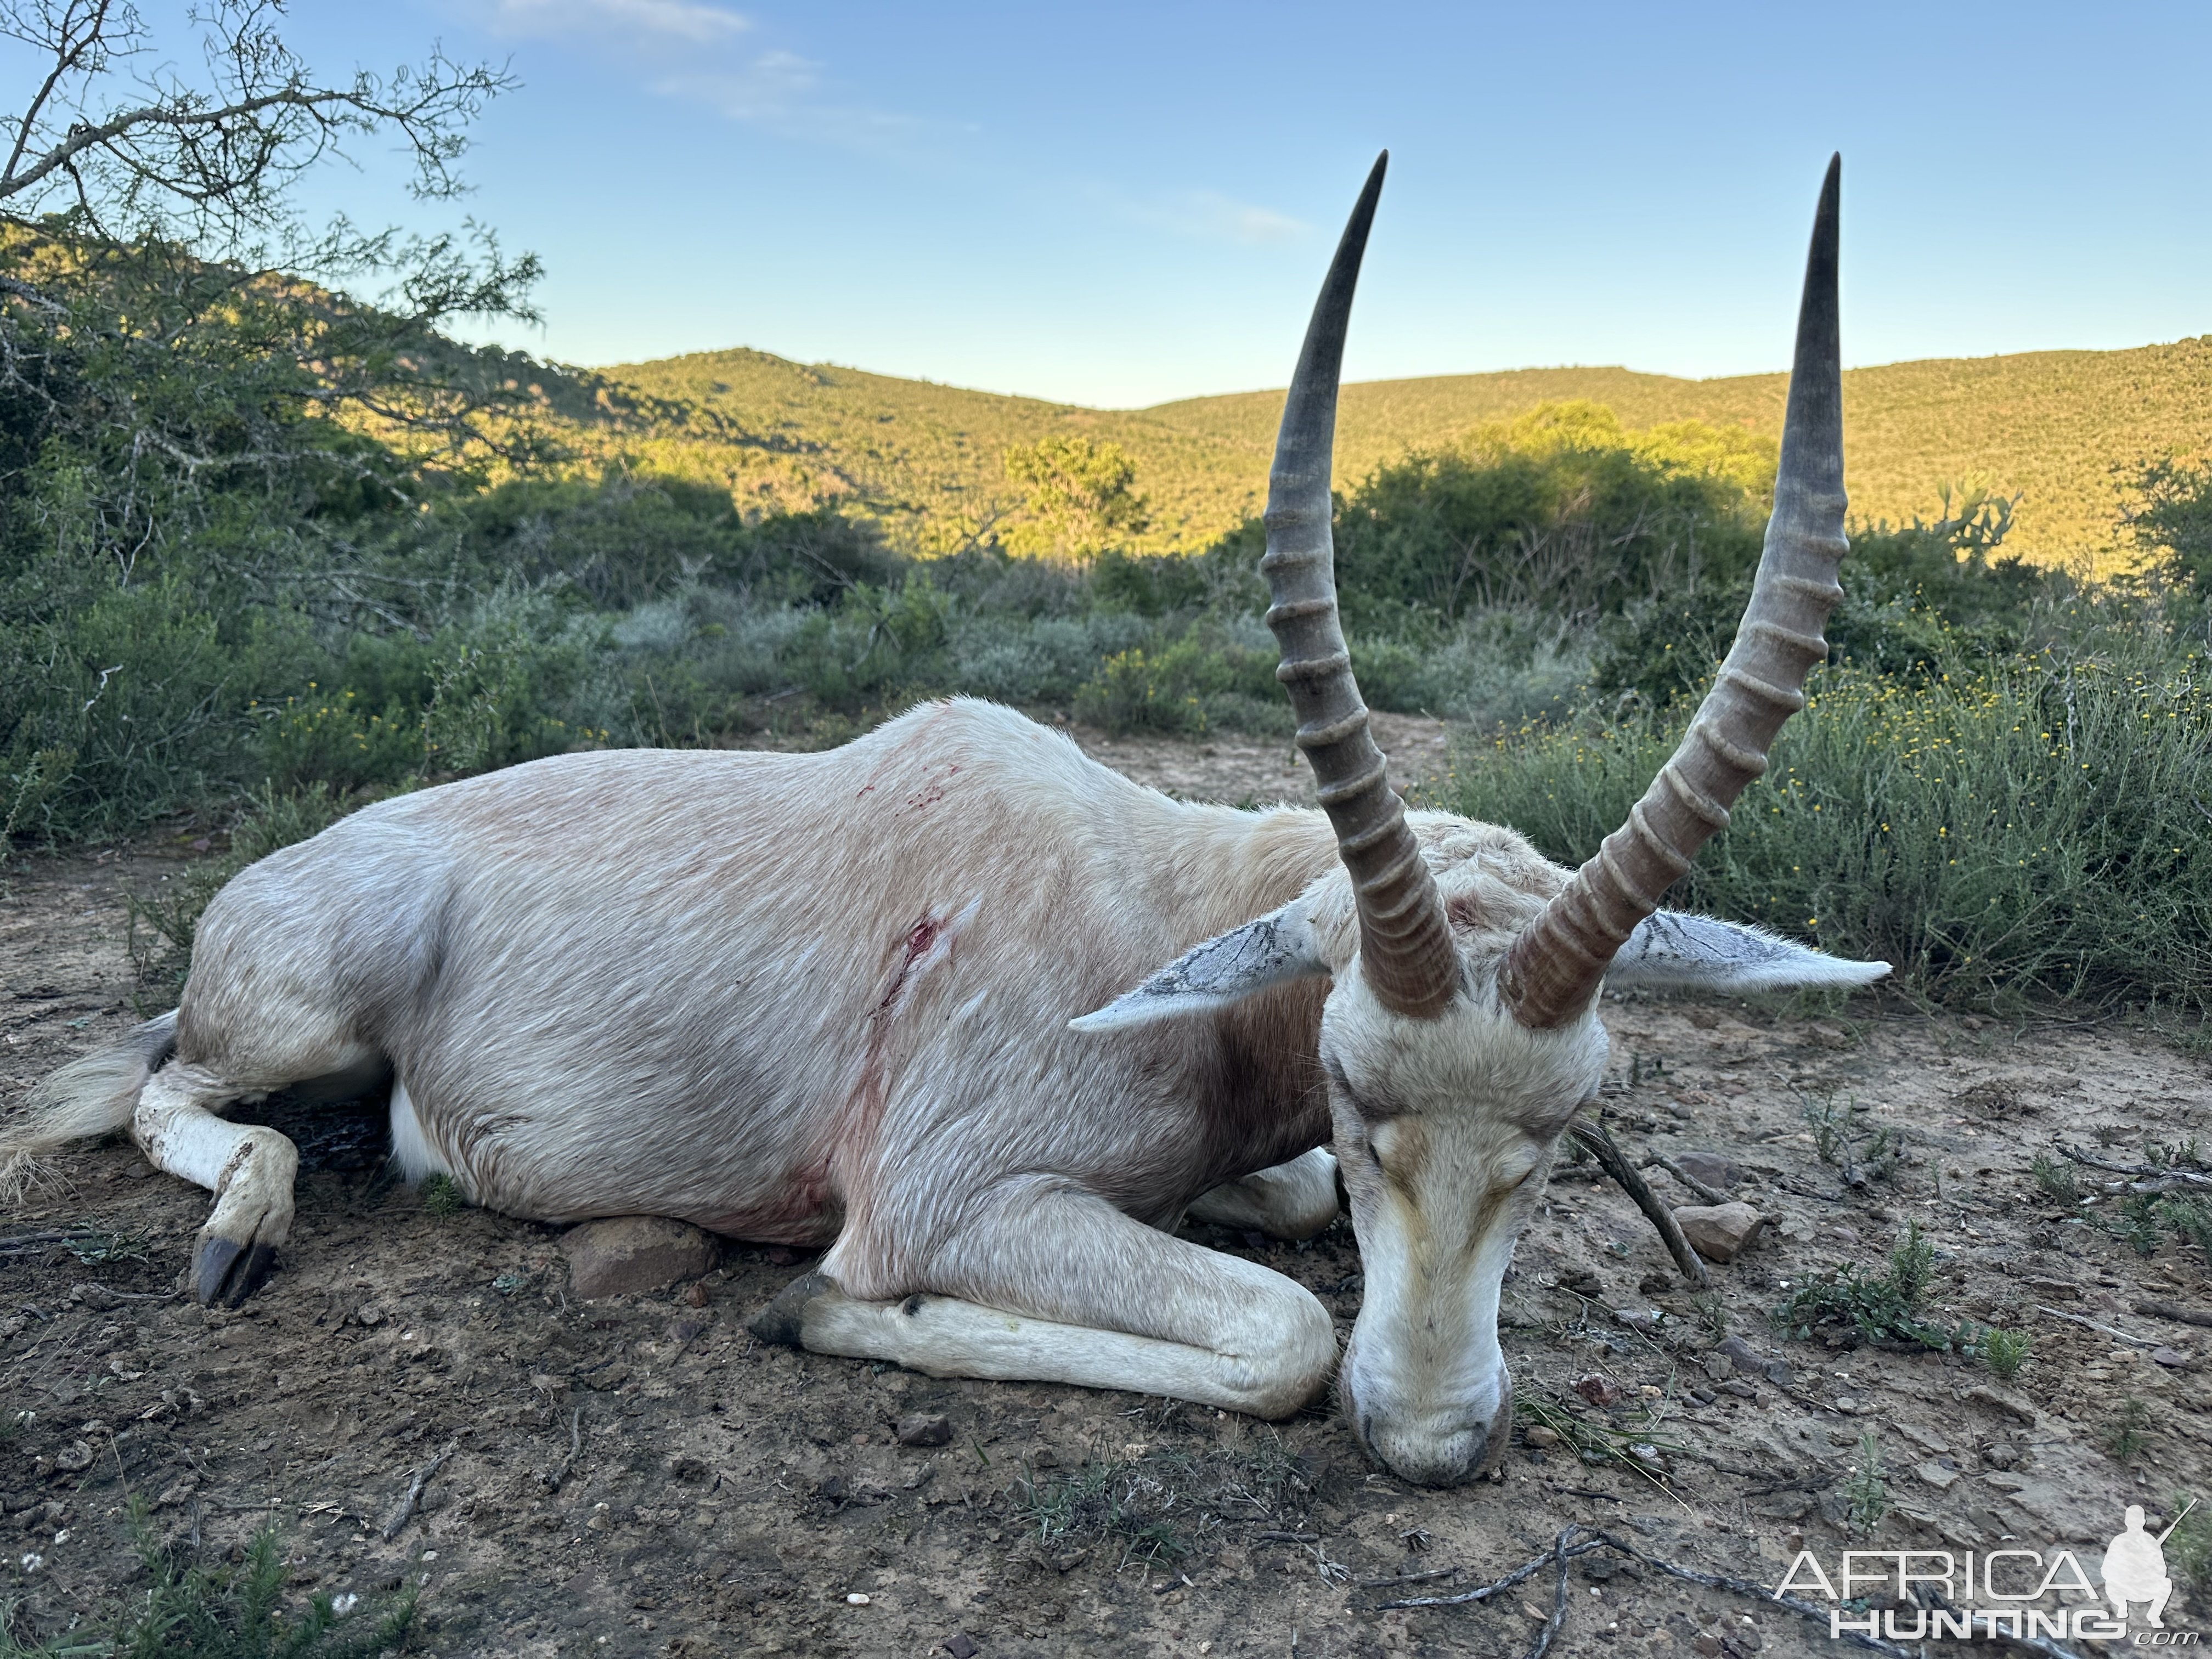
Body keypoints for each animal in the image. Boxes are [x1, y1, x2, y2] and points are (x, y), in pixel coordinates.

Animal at [4, 156, 1884, 1486]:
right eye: (1360, 1093)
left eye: (1572, 1125)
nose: (1432, 1447)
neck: (1155, 905)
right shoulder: (951, 1198)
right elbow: (1282, 1330)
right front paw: (831, 1312)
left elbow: (1281, 1227)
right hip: (303, 1015)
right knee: (167, 1091)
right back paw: (242, 1227)